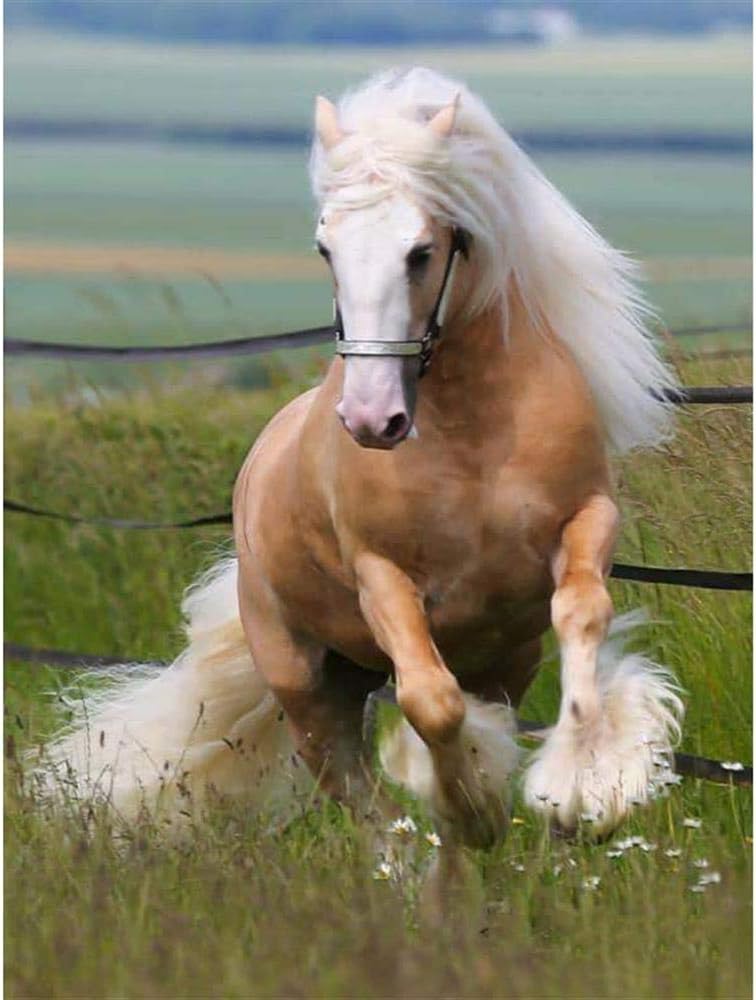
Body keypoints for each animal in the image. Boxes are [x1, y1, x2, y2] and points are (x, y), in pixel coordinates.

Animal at [39, 67, 684, 846]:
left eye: (421, 251)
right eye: (326, 248)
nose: (373, 419)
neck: (473, 444)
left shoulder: (584, 524)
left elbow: (582, 614)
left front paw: (585, 784)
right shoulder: (382, 577)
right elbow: (430, 702)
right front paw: (472, 803)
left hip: (498, 659)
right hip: (309, 687)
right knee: (362, 799)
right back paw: (424, 844)